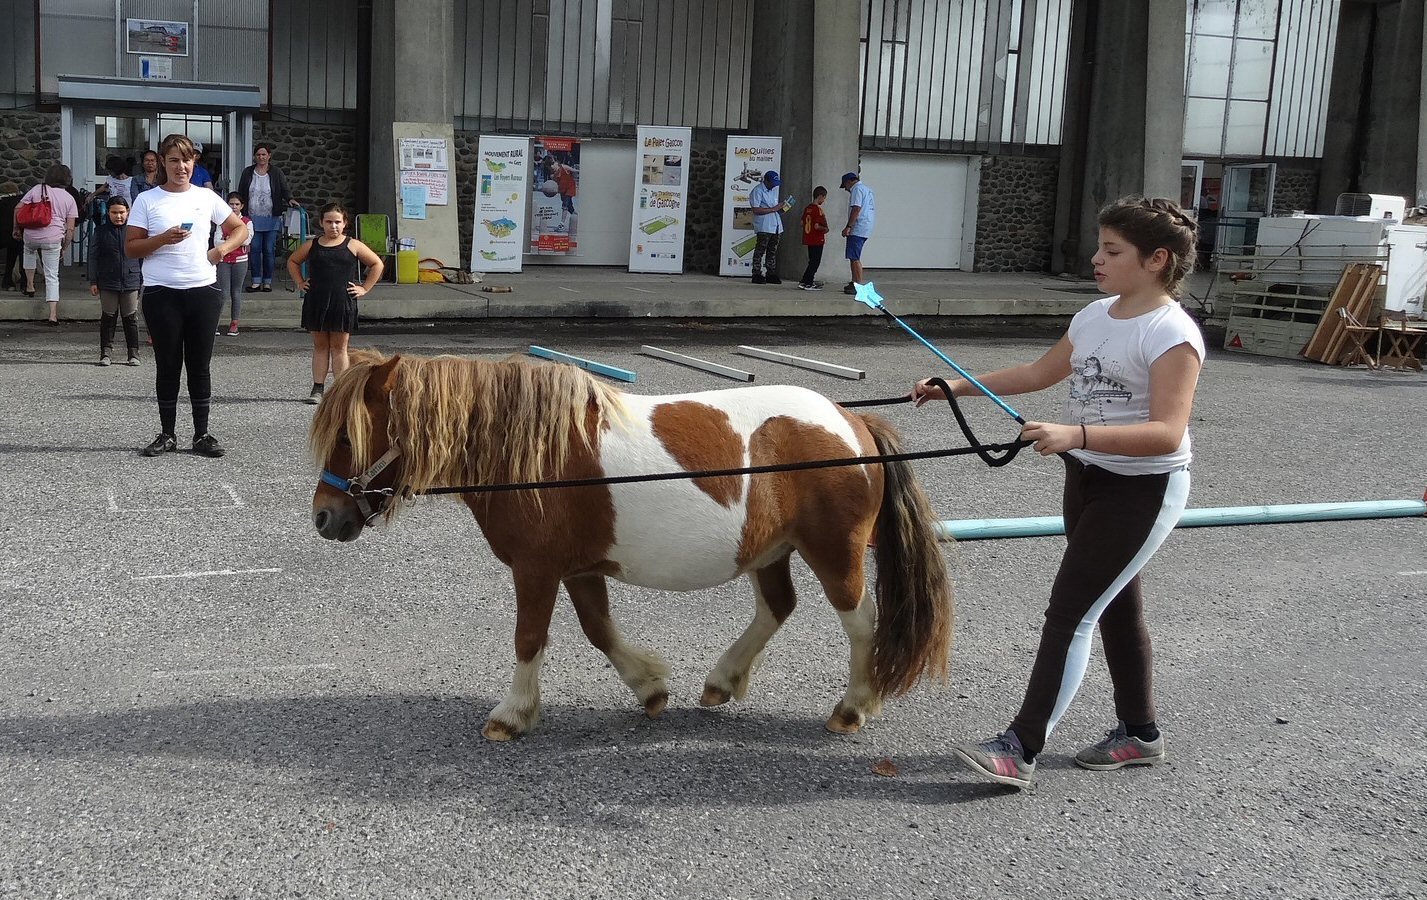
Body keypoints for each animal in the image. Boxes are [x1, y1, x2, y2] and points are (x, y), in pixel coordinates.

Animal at [309, 350, 954, 741]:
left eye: (347, 435)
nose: (324, 517)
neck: (534, 454)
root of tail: (854, 423)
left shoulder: (536, 569)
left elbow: (529, 638)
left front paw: (512, 714)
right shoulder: (577, 569)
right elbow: (598, 631)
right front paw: (650, 687)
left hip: (835, 554)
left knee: (861, 623)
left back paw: (853, 706)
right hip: (769, 550)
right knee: (777, 607)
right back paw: (722, 680)